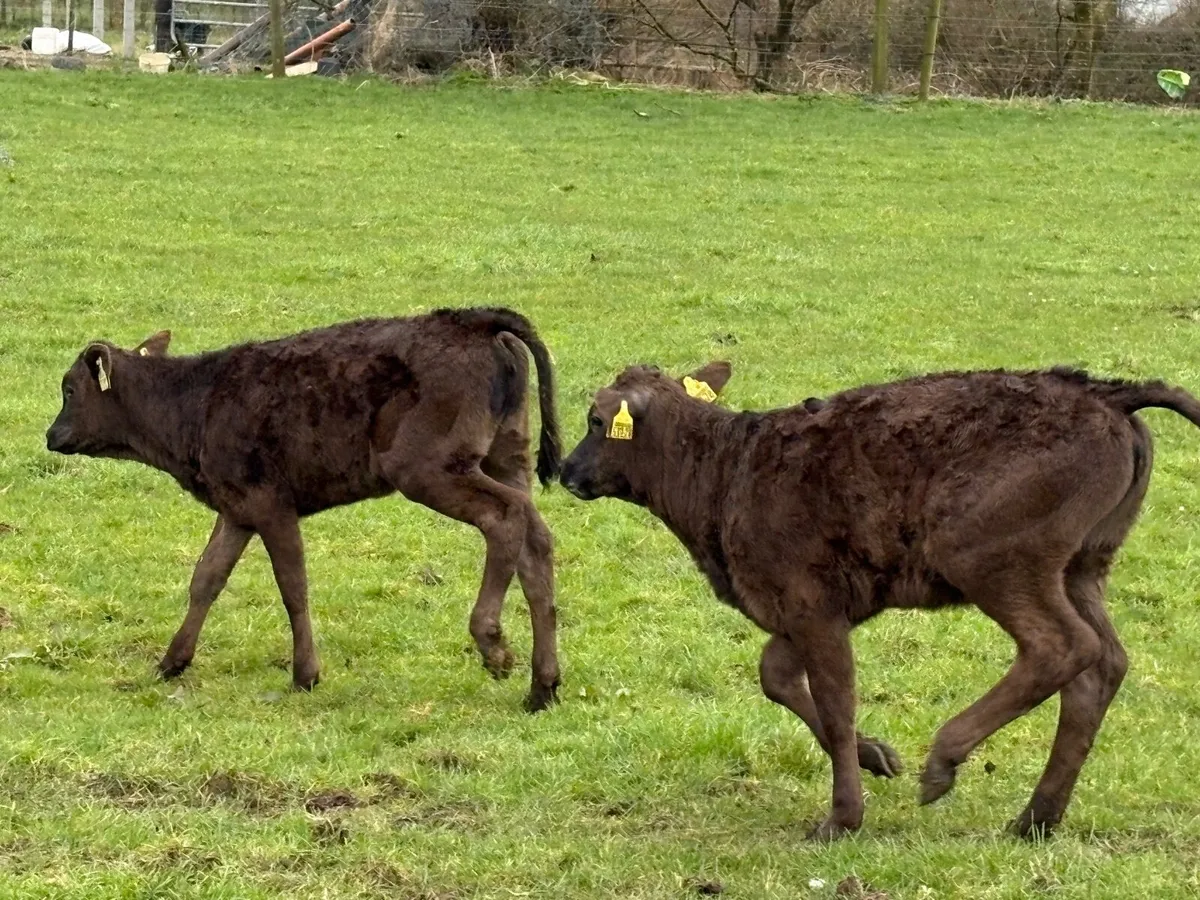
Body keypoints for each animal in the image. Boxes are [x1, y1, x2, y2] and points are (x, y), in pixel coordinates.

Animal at [46, 307, 562, 712]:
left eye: (69, 389)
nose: (51, 435)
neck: (196, 405)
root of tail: (476, 320)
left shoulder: (271, 504)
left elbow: (292, 586)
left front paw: (305, 674)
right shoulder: (236, 507)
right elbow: (206, 578)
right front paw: (172, 661)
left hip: (428, 468)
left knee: (504, 518)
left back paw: (493, 644)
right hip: (506, 455)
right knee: (535, 540)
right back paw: (543, 687)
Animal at [559, 361, 1200, 837]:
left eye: (596, 420)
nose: (565, 471)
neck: (724, 475)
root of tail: (1109, 394)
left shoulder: (810, 601)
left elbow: (836, 702)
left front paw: (842, 818)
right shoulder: (810, 605)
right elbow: (777, 677)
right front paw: (877, 757)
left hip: (992, 555)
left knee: (1062, 647)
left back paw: (944, 762)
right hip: (1084, 564)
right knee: (1104, 664)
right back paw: (1034, 819)